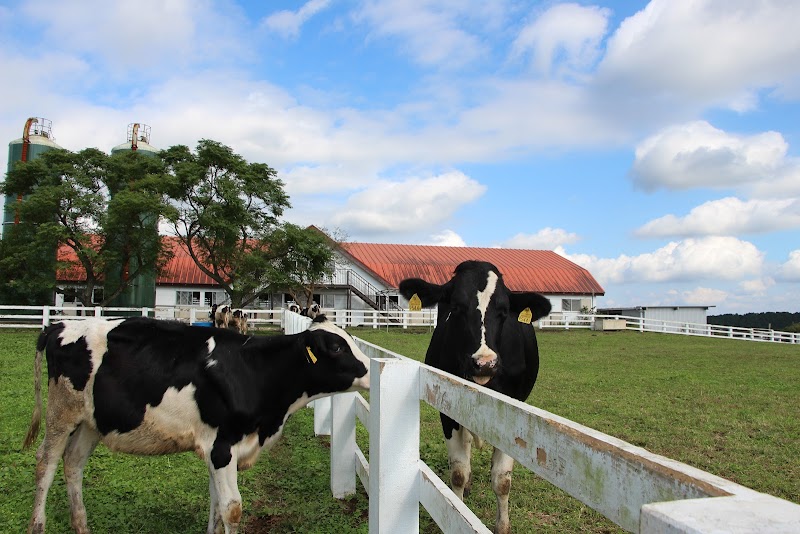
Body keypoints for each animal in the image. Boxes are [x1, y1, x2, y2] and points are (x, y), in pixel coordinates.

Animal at [22, 316, 372, 532]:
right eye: (336, 347)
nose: (370, 368)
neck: (254, 370)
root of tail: (57, 326)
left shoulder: (219, 450)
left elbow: (216, 506)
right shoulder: (221, 446)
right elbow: (231, 508)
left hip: (91, 421)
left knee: (73, 462)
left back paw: (81, 526)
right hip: (61, 412)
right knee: (45, 463)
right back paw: (37, 526)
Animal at [398, 262, 552, 532]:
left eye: (504, 311)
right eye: (456, 306)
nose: (485, 363)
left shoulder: (513, 415)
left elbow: (502, 481)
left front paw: (502, 526)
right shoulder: (447, 410)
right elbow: (458, 472)